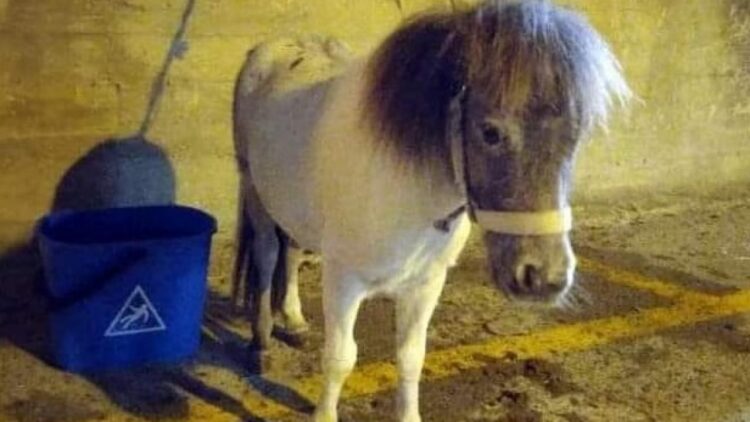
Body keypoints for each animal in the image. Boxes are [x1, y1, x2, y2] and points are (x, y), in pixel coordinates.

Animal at [232, 0, 631, 420]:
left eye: (576, 136)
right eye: (490, 132)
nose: (545, 278)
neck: (407, 188)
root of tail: (271, 47)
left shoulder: (426, 284)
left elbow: (411, 358)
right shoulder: (344, 280)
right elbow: (340, 358)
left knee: (291, 252)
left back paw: (293, 321)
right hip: (255, 191)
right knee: (267, 254)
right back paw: (260, 342)